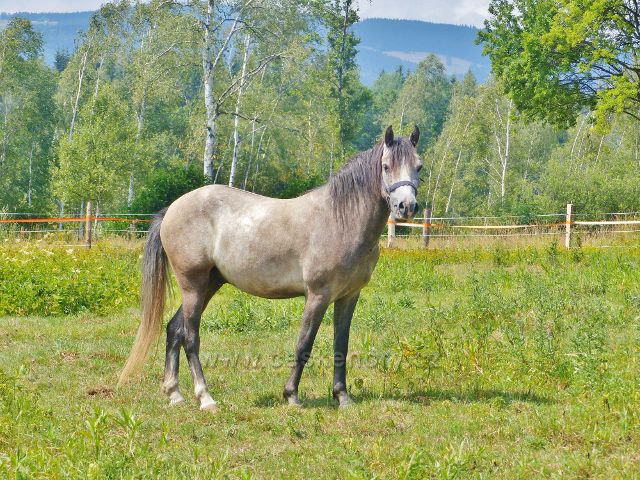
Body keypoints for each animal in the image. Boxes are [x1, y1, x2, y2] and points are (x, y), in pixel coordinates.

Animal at [120, 125, 422, 410]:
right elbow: (304, 344)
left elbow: (341, 345)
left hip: (208, 284)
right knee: (190, 337)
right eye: (386, 166)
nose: (406, 207)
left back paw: (174, 394)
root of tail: (172, 209)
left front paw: (342, 397)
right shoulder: (318, 296)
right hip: (192, 285)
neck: (340, 220)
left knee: (174, 330)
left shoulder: (348, 296)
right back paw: (205, 398)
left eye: (419, 166)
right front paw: (291, 396)